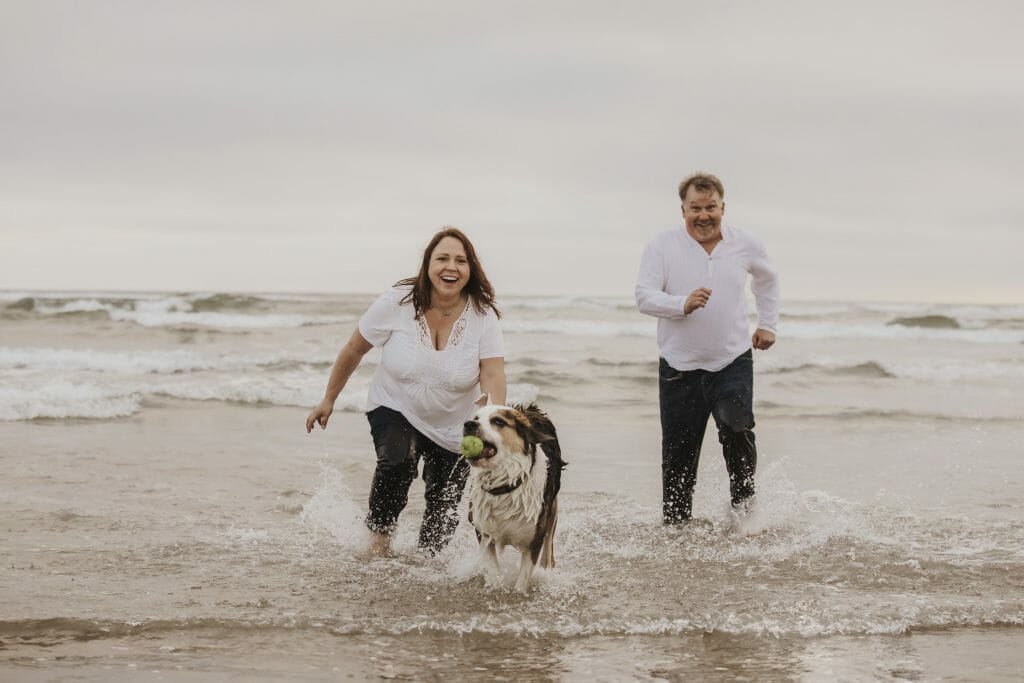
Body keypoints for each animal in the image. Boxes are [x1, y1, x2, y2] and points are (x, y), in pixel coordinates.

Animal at [464, 403, 569, 589]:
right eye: (475, 418)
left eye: (498, 421)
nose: (469, 424)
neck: (504, 487)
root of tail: (528, 409)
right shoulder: (483, 531)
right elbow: (492, 571)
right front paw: (494, 586)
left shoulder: (534, 539)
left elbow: (522, 582)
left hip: (552, 509)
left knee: (549, 540)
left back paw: (547, 566)